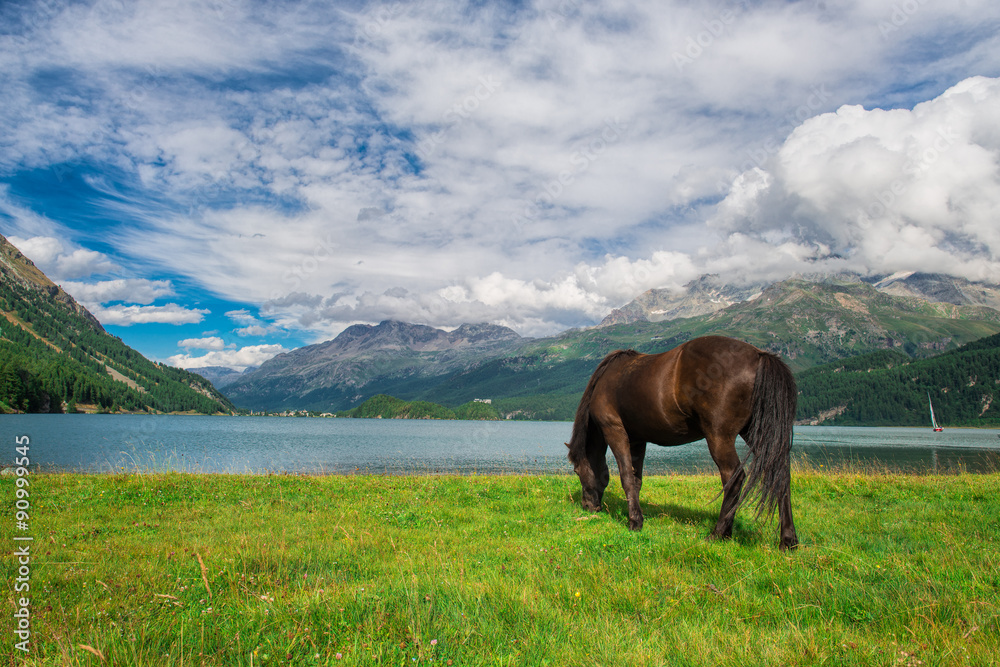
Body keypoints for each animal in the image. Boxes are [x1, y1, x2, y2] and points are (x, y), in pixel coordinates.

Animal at [572, 336, 796, 552]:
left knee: (734, 477)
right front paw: (637, 516)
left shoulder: (615, 430)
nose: (587, 506)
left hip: (719, 437)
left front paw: (634, 522)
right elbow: (636, 480)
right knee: (781, 475)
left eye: (576, 471)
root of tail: (758, 355)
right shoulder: (637, 440)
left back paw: (719, 533)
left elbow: (626, 477)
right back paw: (788, 540)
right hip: (755, 432)